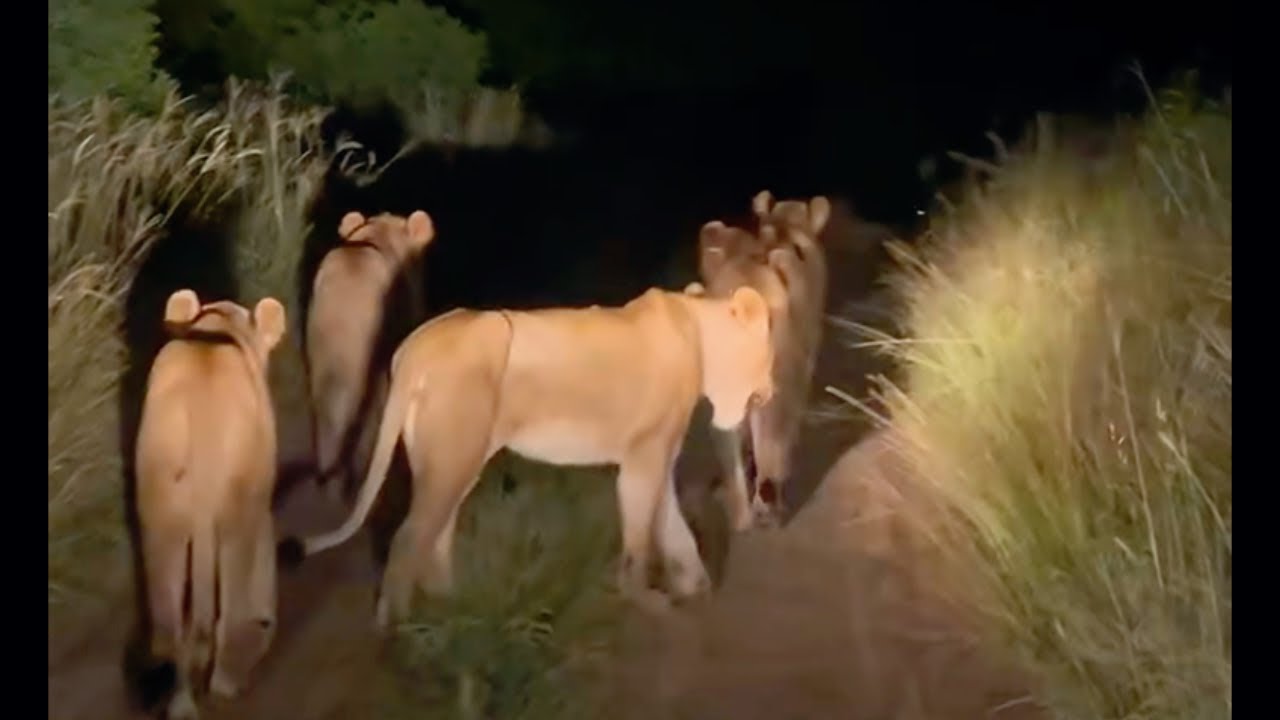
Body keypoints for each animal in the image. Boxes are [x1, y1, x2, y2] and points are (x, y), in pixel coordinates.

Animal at [134, 290, 286, 719]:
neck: (216, 327)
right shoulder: (259, 499)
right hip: (238, 511)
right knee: (229, 611)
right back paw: (227, 680)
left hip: (159, 513)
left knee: (169, 628)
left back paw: (179, 701)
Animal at [280, 284, 775, 628]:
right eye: (768, 355)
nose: (770, 392)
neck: (698, 335)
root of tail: (414, 348)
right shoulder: (643, 460)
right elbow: (641, 536)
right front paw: (646, 599)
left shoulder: (657, 456)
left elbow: (673, 527)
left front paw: (696, 586)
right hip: (453, 455)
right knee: (408, 536)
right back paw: (398, 630)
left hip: (452, 459)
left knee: (436, 532)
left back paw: (450, 604)